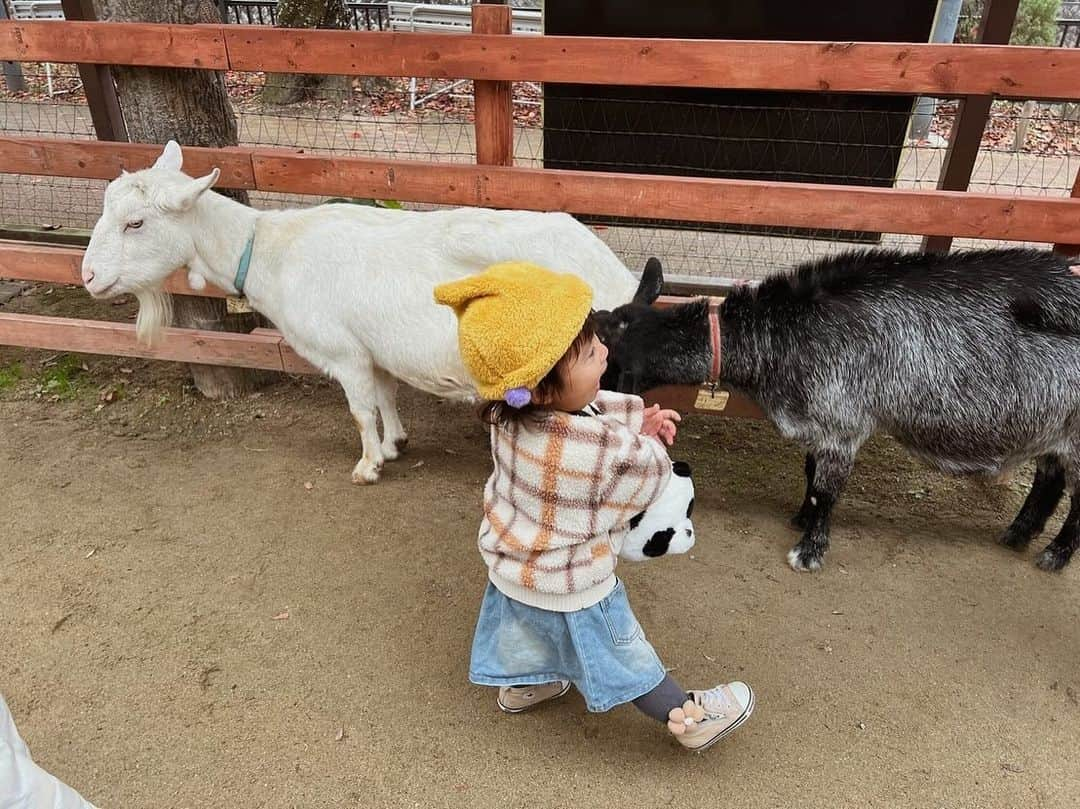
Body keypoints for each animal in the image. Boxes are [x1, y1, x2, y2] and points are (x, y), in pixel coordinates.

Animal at [84, 140, 639, 479]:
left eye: (136, 223)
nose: (88, 276)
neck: (271, 252)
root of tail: (618, 273)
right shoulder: (375, 348)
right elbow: (386, 398)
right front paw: (396, 443)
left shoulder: (343, 351)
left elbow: (358, 410)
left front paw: (368, 465)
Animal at [596, 249, 1080, 570]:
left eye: (605, 360)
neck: (780, 333)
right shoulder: (818, 425)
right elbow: (811, 476)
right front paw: (800, 518)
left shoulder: (843, 424)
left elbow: (827, 491)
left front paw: (809, 551)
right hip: (1054, 433)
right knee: (1048, 481)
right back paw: (1018, 534)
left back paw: (1054, 555)